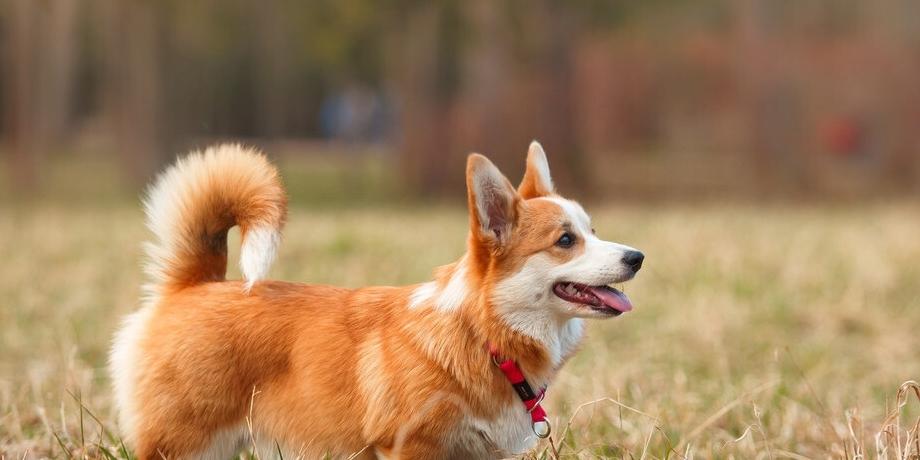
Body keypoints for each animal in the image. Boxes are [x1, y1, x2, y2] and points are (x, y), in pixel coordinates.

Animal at [109, 142, 640, 458]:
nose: (637, 256)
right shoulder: (410, 446)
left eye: (593, 231)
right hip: (184, 444)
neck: (481, 333)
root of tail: (194, 284)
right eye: (565, 240)